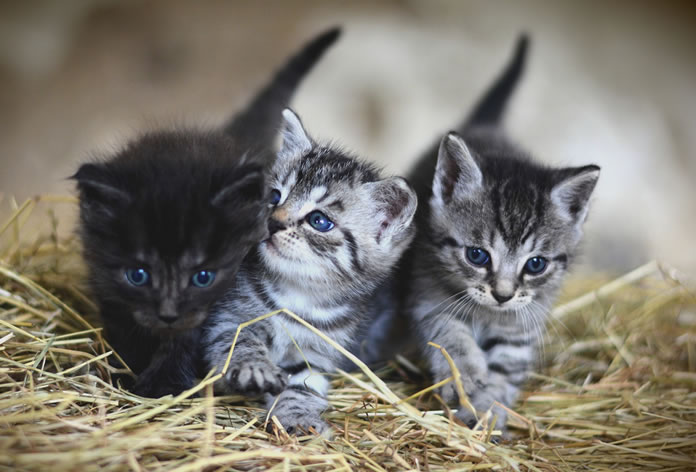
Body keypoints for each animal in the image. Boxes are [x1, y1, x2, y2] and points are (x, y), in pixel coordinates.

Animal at [72, 27, 340, 398]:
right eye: (138, 275)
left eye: (203, 277)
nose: (168, 314)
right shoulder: (107, 286)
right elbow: (125, 328)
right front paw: (127, 370)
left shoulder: (218, 304)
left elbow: (187, 338)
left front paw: (164, 384)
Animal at [204, 108, 416, 436]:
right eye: (274, 197)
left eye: (319, 220)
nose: (273, 223)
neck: (299, 294)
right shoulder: (228, 318)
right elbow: (239, 341)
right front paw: (254, 367)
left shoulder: (317, 355)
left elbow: (302, 387)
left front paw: (299, 418)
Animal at [402, 35, 600, 430]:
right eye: (477, 255)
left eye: (536, 264)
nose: (503, 295)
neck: (487, 314)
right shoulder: (427, 294)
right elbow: (450, 336)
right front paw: (466, 378)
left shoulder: (523, 323)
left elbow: (506, 368)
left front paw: (489, 409)